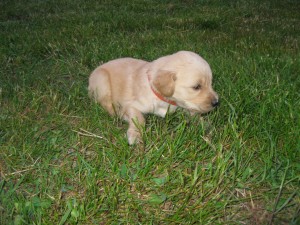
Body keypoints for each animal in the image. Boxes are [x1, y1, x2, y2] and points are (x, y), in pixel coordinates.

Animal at [88, 50, 218, 144]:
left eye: (211, 83)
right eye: (196, 87)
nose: (216, 103)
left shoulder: (182, 106)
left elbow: (193, 113)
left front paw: (205, 124)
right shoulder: (131, 105)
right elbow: (140, 119)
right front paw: (135, 135)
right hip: (102, 80)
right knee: (105, 103)